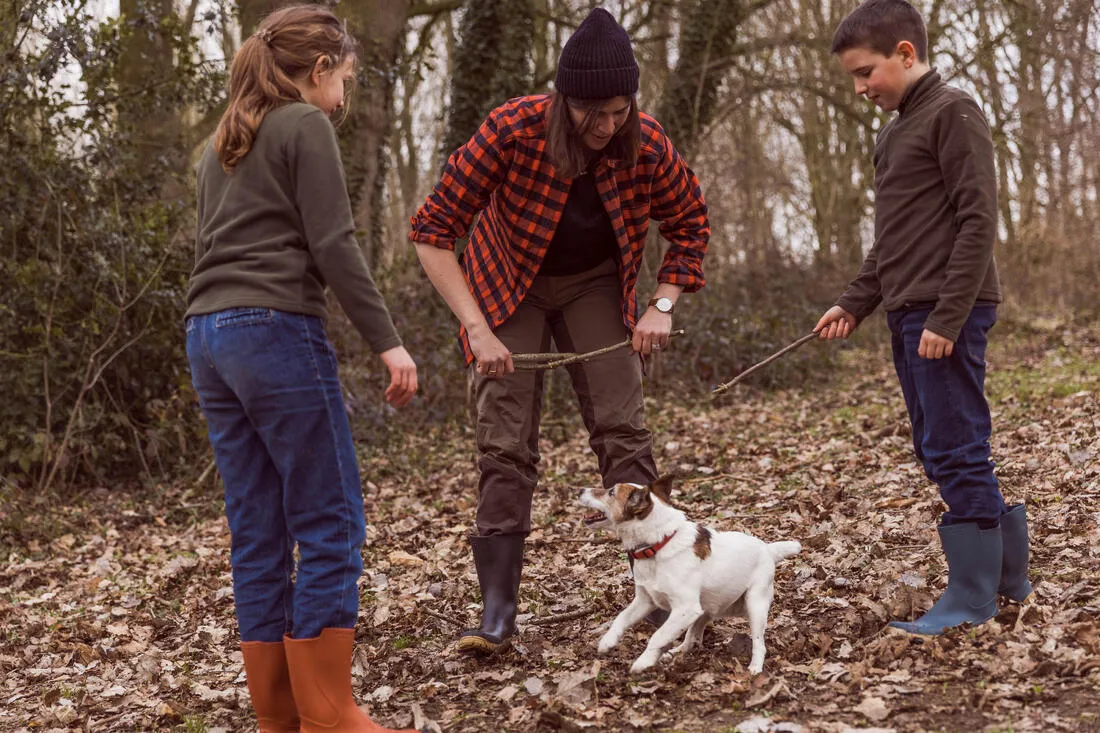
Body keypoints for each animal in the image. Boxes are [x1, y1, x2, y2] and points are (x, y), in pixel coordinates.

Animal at [580, 473, 805, 673]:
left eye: (611, 492)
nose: (580, 490)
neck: (658, 545)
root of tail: (768, 549)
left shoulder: (685, 609)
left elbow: (658, 636)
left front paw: (644, 662)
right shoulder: (645, 601)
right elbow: (621, 619)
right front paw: (608, 642)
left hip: (754, 605)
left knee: (759, 643)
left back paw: (755, 668)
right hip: (706, 608)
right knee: (692, 639)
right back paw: (674, 653)